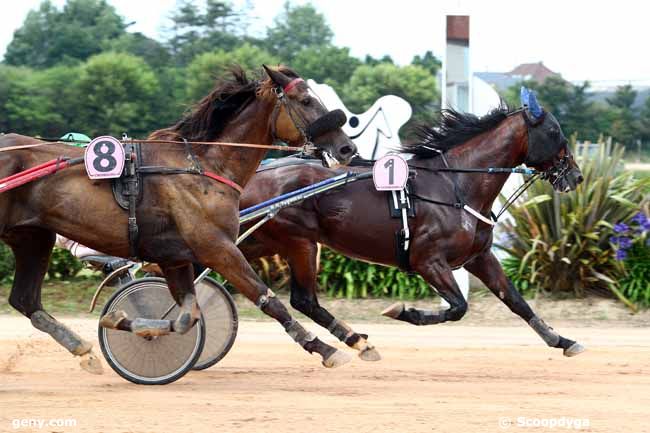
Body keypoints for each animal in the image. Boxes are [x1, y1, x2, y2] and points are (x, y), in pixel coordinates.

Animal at [0, 64, 360, 372]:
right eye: (306, 100)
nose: (347, 149)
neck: (202, 168)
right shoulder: (217, 247)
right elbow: (269, 301)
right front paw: (324, 348)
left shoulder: (175, 256)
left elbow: (188, 316)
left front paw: (122, 322)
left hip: (33, 237)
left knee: (25, 300)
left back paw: (82, 349)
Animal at [239, 103, 588, 360]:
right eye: (554, 131)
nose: (576, 175)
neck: (456, 185)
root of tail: (254, 176)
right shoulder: (428, 260)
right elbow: (458, 307)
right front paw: (403, 310)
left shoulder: (479, 257)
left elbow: (516, 301)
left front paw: (562, 340)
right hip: (300, 241)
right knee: (303, 299)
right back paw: (348, 343)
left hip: (264, 241)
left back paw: (355, 340)